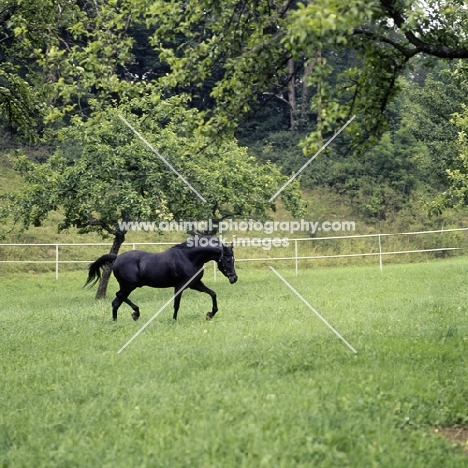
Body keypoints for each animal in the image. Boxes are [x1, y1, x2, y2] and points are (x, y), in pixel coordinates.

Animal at [84, 236, 238, 320]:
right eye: (227, 260)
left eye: (233, 259)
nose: (234, 278)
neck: (189, 258)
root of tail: (116, 258)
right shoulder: (180, 286)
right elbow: (176, 305)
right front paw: (174, 321)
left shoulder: (195, 284)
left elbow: (213, 293)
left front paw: (210, 314)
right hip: (129, 285)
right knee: (118, 297)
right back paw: (135, 313)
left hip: (127, 286)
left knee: (116, 302)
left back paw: (119, 319)